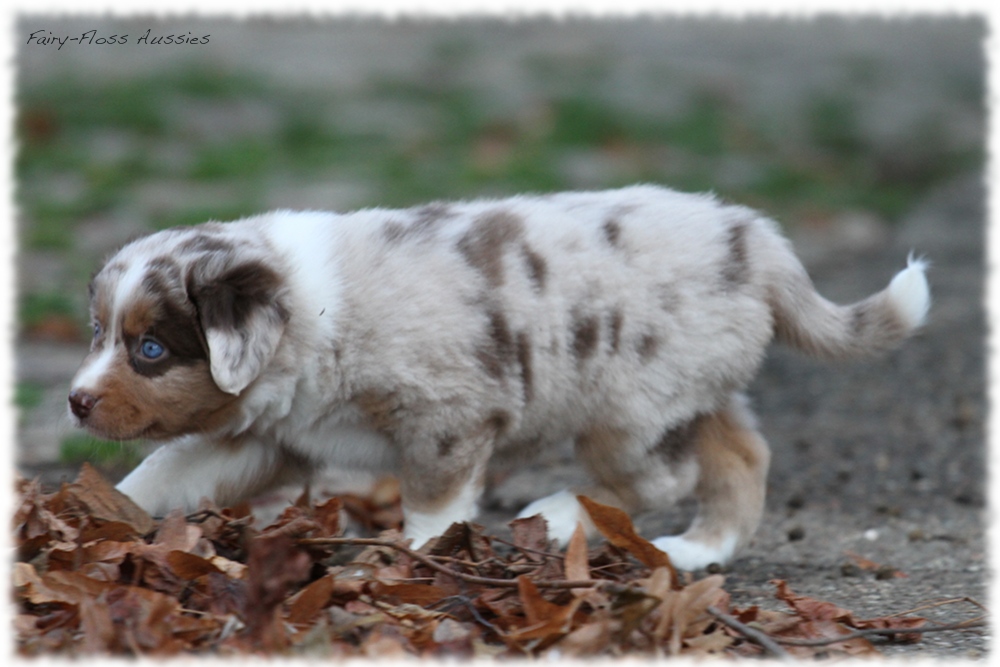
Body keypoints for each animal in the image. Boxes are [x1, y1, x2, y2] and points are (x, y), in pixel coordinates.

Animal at [68, 187, 928, 568]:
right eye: (99, 332)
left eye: (151, 349)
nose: (75, 402)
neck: (312, 317)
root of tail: (756, 238)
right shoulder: (266, 435)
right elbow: (167, 471)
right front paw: (89, 513)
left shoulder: (446, 416)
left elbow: (432, 501)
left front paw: (417, 553)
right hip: (699, 384)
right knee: (742, 455)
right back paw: (697, 550)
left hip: (630, 405)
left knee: (659, 479)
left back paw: (555, 514)